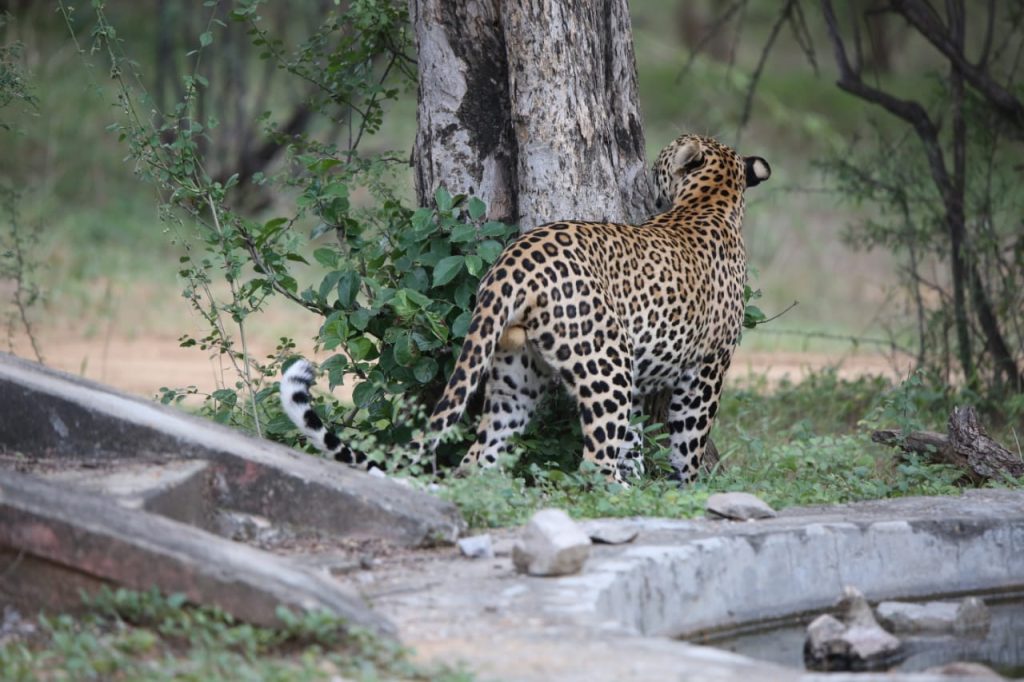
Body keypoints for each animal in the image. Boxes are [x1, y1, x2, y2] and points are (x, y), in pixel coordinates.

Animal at [280, 133, 770, 481]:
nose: (649, 171)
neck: (714, 200)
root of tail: (513, 261)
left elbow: (636, 438)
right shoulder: (709, 365)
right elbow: (689, 437)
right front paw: (684, 488)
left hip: (517, 373)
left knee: (479, 456)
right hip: (605, 362)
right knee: (595, 462)